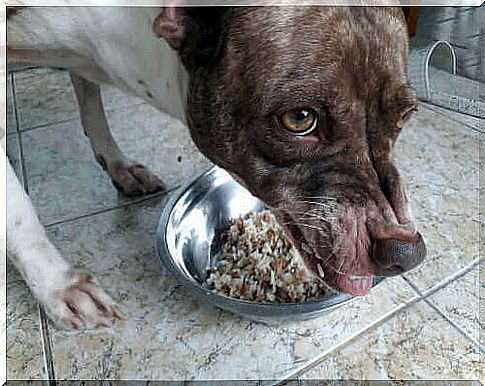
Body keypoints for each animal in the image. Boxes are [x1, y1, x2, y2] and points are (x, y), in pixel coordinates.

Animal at [5, 6, 426, 328]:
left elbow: (89, 98)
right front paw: (58, 285)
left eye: (406, 115)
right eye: (300, 119)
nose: (405, 255)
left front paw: (118, 164)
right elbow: (17, 209)